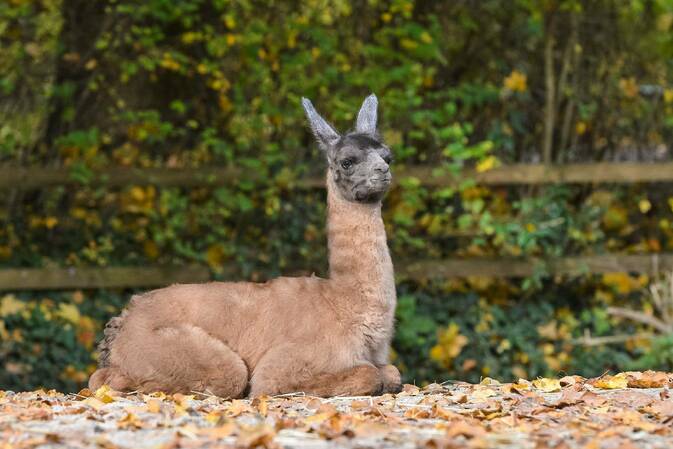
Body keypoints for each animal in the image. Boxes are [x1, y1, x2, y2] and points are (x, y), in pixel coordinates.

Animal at [88, 94, 401, 398]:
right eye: (347, 161)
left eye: (388, 156)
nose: (383, 170)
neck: (343, 302)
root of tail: (124, 320)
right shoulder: (284, 365)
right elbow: (369, 374)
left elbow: (392, 372)